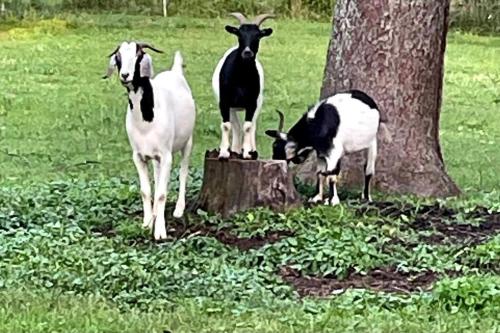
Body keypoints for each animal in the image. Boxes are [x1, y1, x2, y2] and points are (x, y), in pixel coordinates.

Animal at [103, 41, 195, 239]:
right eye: (118, 57)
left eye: (138, 55)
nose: (125, 75)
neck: (146, 120)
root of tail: (175, 71)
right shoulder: (138, 156)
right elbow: (146, 191)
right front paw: (146, 224)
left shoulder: (166, 155)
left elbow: (161, 193)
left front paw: (160, 231)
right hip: (154, 156)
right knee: (158, 175)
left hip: (187, 141)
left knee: (183, 172)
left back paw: (178, 209)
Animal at [210, 11, 274, 160]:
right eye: (239, 34)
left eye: (258, 35)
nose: (247, 52)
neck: (241, 78)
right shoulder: (224, 102)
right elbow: (226, 126)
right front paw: (224, 153)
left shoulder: (252, 103)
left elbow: (248, 127)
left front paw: (247, 153)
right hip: (232, 107)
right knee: (236, 127)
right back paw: (235, 150)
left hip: (258, 102)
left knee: (251, 126)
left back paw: (250, 150)